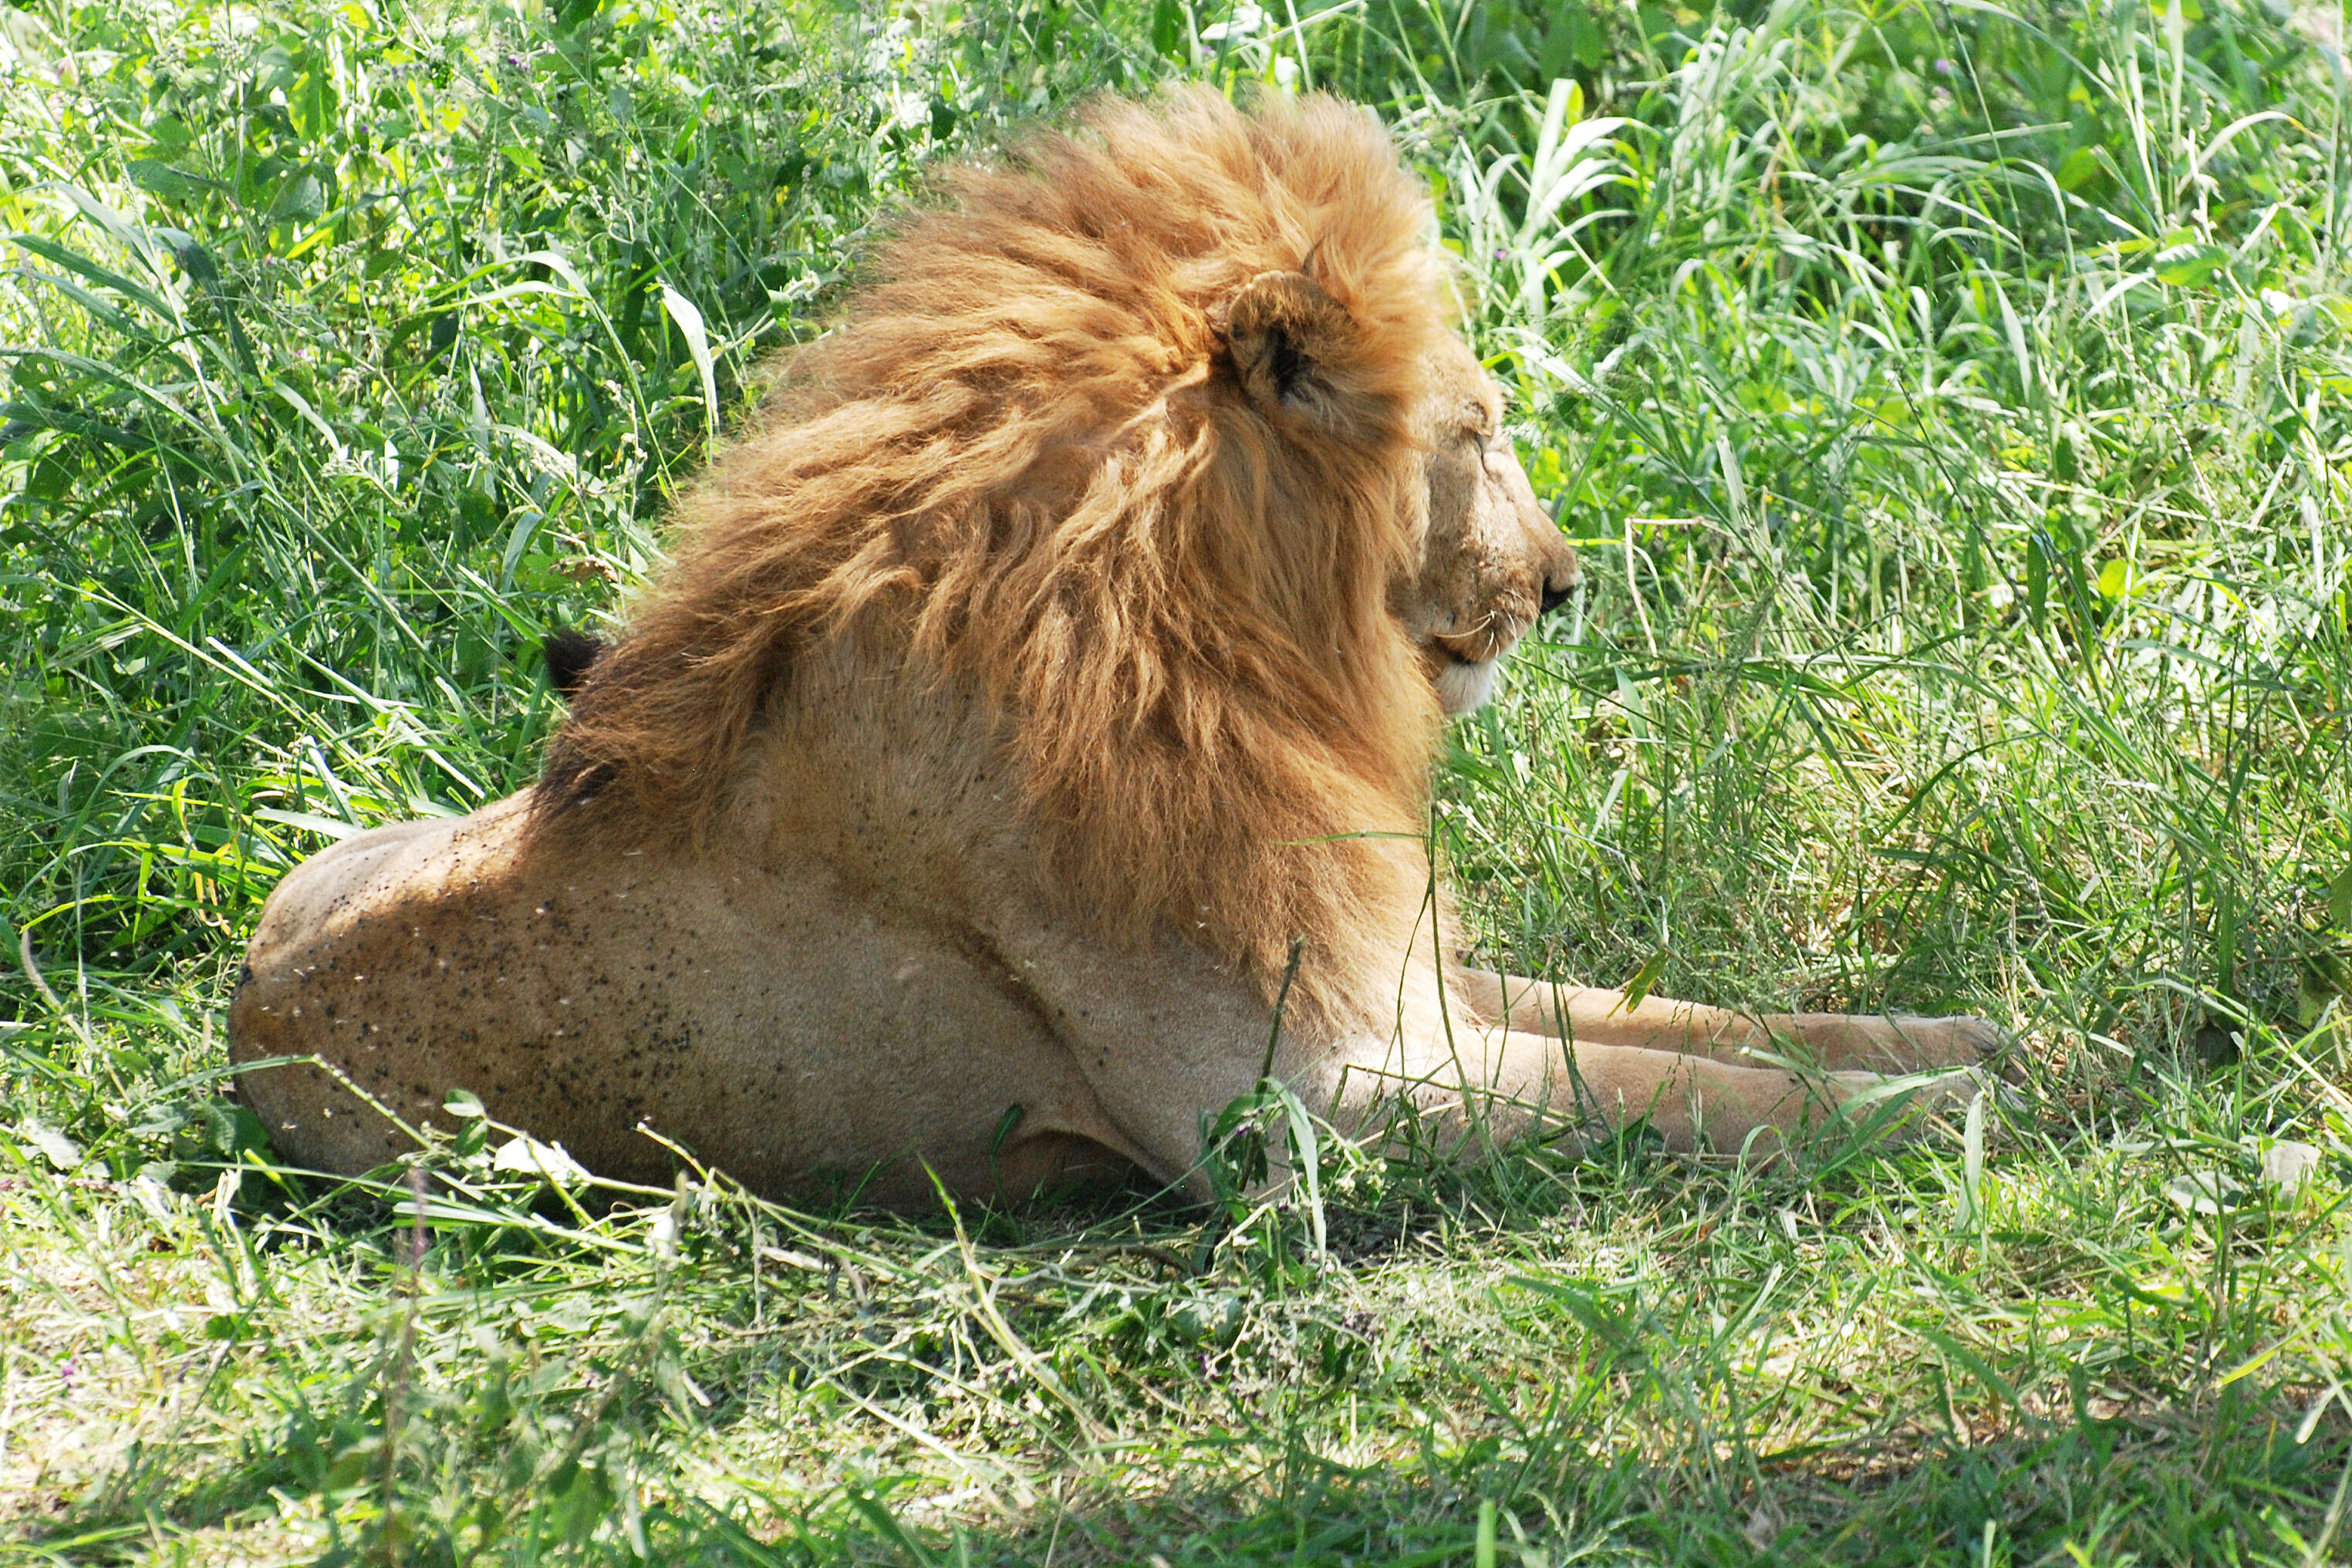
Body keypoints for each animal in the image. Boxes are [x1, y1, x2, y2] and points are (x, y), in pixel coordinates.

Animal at [221, 86, 1994, 1212]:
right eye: (1479, 431)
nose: (1563, 586)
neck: (1235, 659)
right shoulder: (1300, 1107)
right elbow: (1699, 1092)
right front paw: (1977, 1106)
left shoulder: (1396, 986)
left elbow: (1700, 1022)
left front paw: (1991, 1031)